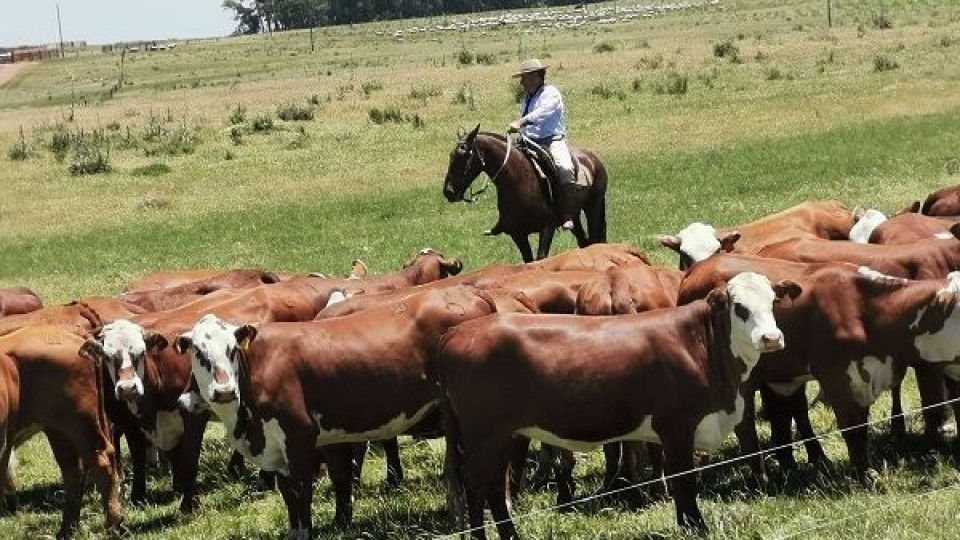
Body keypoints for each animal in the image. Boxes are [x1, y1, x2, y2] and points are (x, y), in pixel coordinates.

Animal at [0, 326, 123, 536]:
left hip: (81, 424)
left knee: (101, 462)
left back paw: (113, 524)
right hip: (58, 429)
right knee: (72, 471)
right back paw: (68, 528)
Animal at [170, 284, 536, 536]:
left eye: (232, 349)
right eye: (198, 353)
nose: (223, 391)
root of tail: (471, 291)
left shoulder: (300, 440)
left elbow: (301, 493)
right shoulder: (285, 448)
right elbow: (303, 492)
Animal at [438, 274, 800, 536]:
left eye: (772, 301)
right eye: (739, 307)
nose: (772, 338)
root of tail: (458, 331)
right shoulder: (677, 427)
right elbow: (683, 481)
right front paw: (697, 527)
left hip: (502, 435)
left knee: (494, 486)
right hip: (484, 435)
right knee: (477, 486)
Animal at [442, 125, 608, 264]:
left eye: (463, 155)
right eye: (450, 155)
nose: (449, 192)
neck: (519, 180)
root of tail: (592, 158)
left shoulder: (547, 227)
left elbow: (541, 258)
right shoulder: (518, 234)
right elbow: (528, 261)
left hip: (594, 207)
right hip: (575, 216)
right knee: (584, 242)